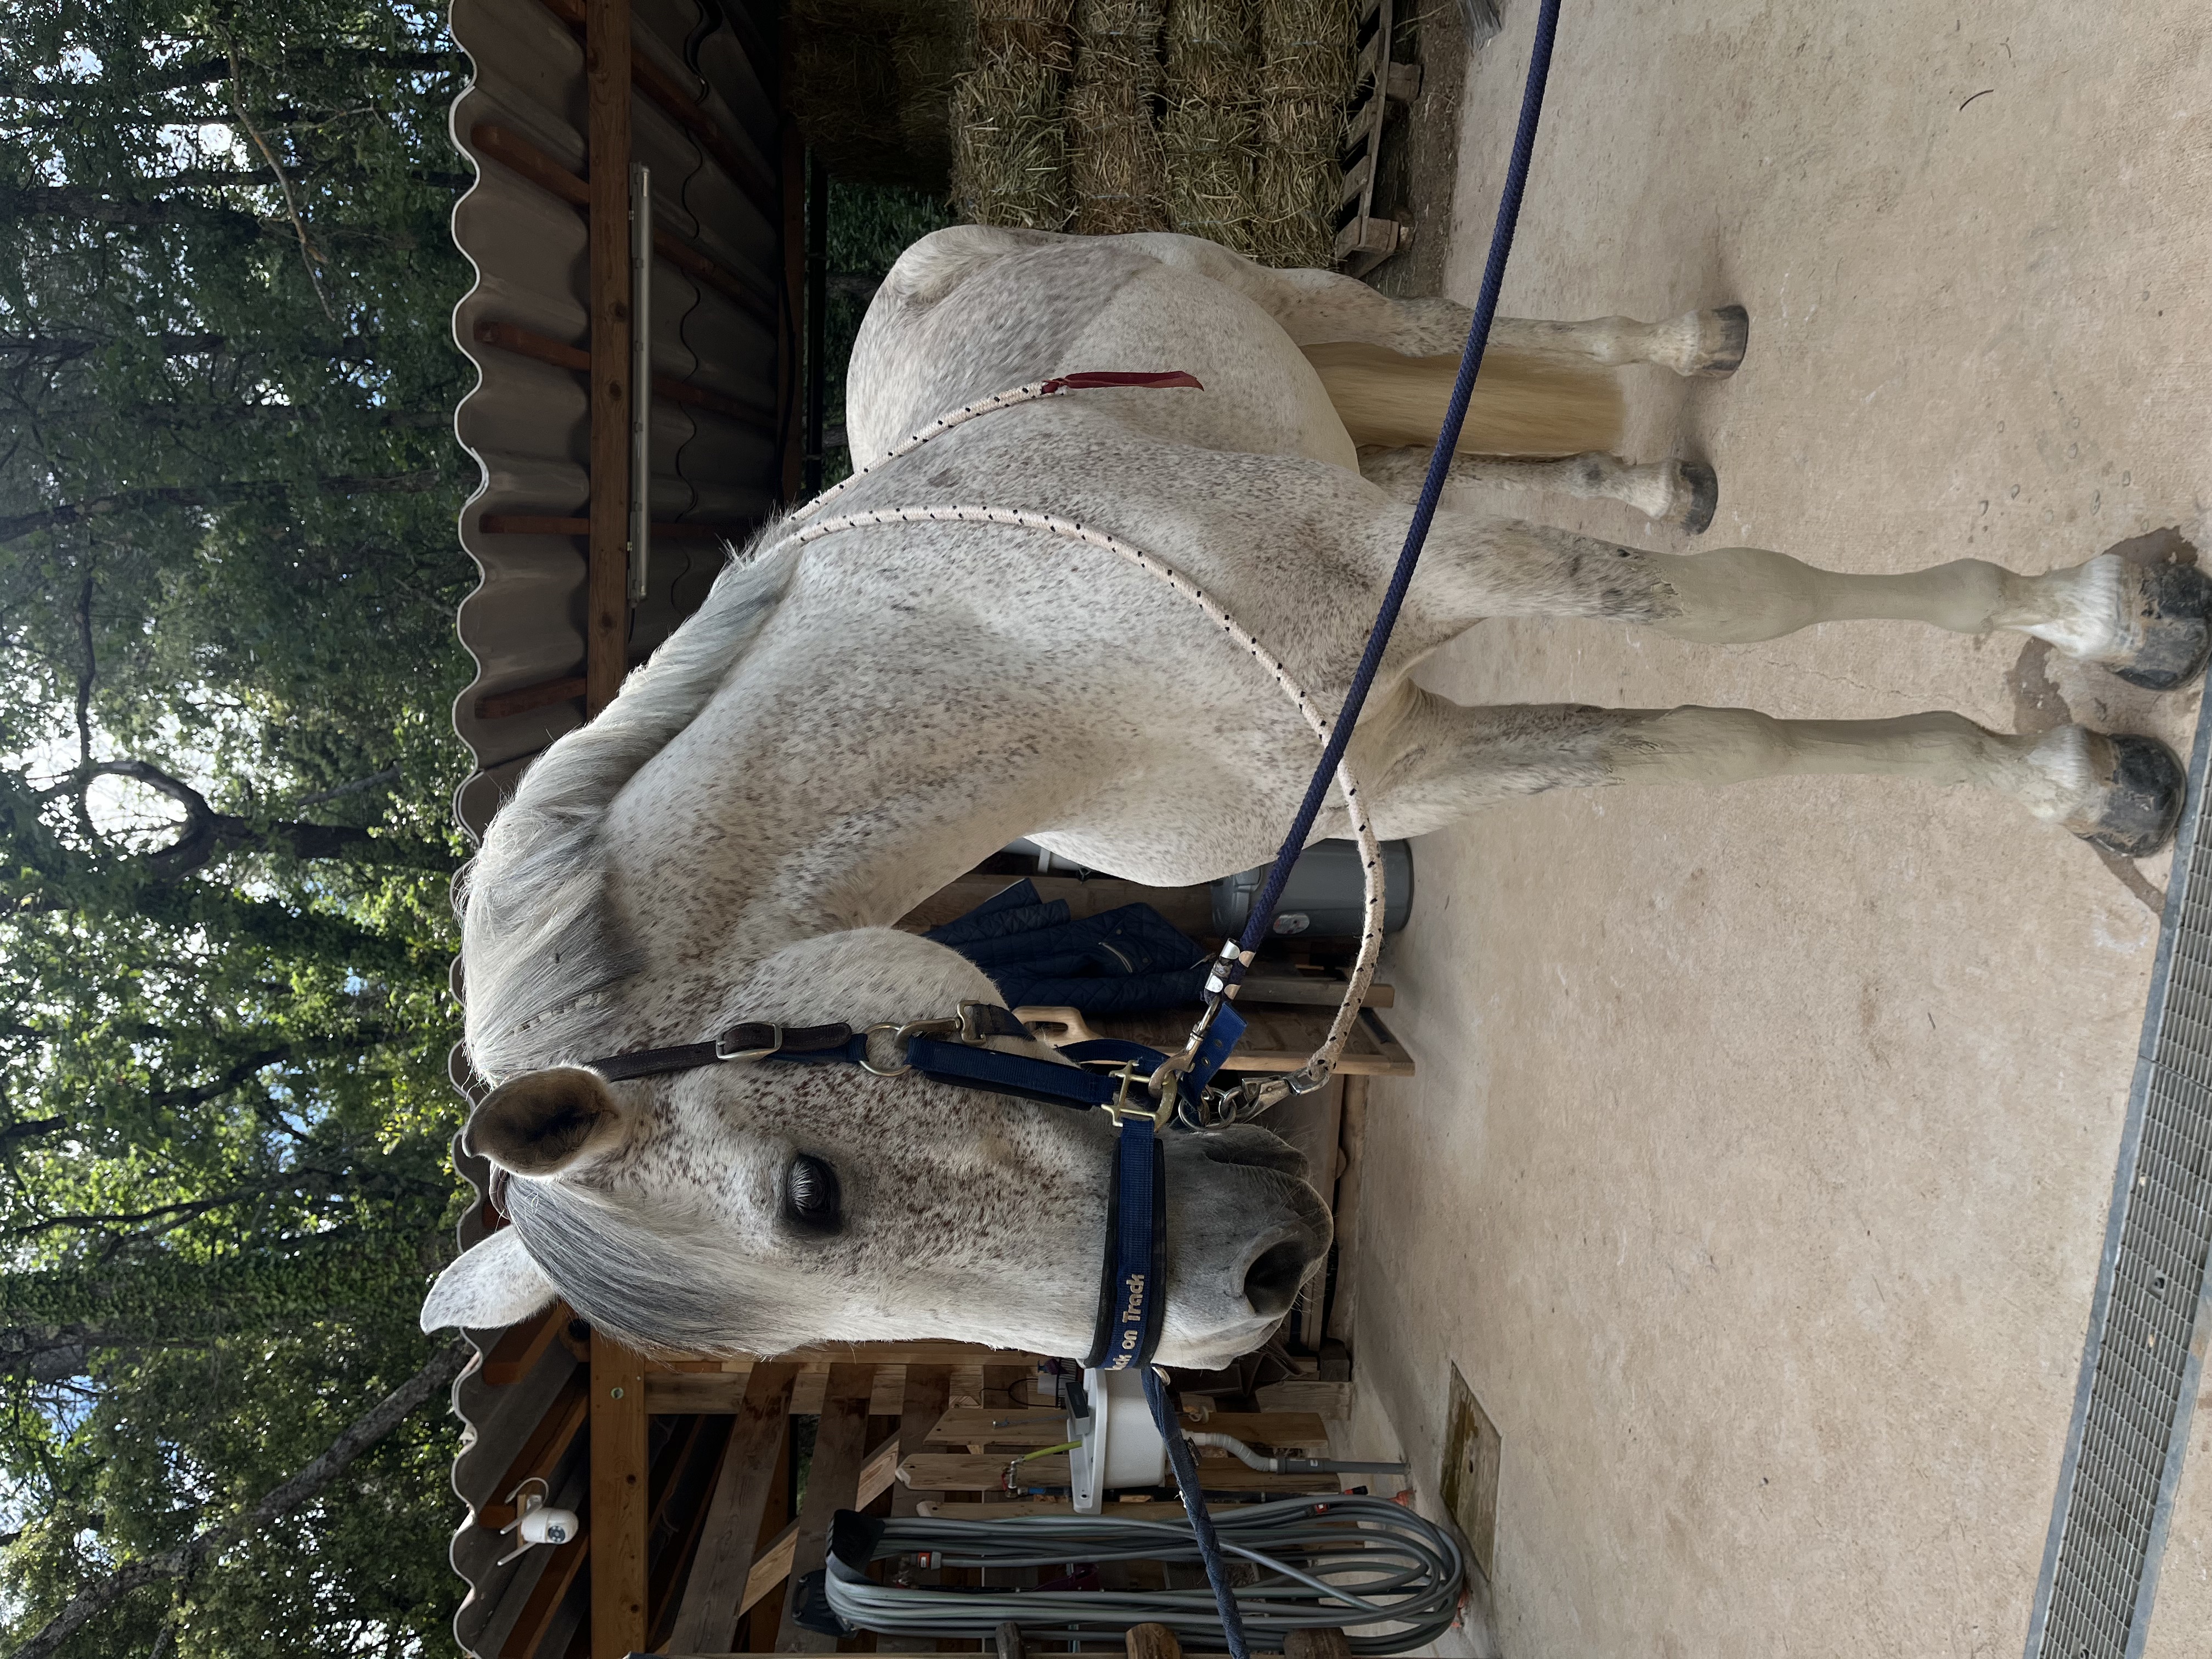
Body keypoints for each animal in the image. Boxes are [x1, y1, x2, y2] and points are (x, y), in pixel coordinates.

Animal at [422, 227, 2206, 1370]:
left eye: (811, 1197)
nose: (1250, 1290)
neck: (1044, 656)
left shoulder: (1442, 582)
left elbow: (1754, 613)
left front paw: (2112, 641)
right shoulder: (1405, 752)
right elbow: (1717, 741)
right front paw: (2080, 778)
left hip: (1283, 302)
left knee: (1463, 332)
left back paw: (1689, 354)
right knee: (1481, 443)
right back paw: (1657, 477)